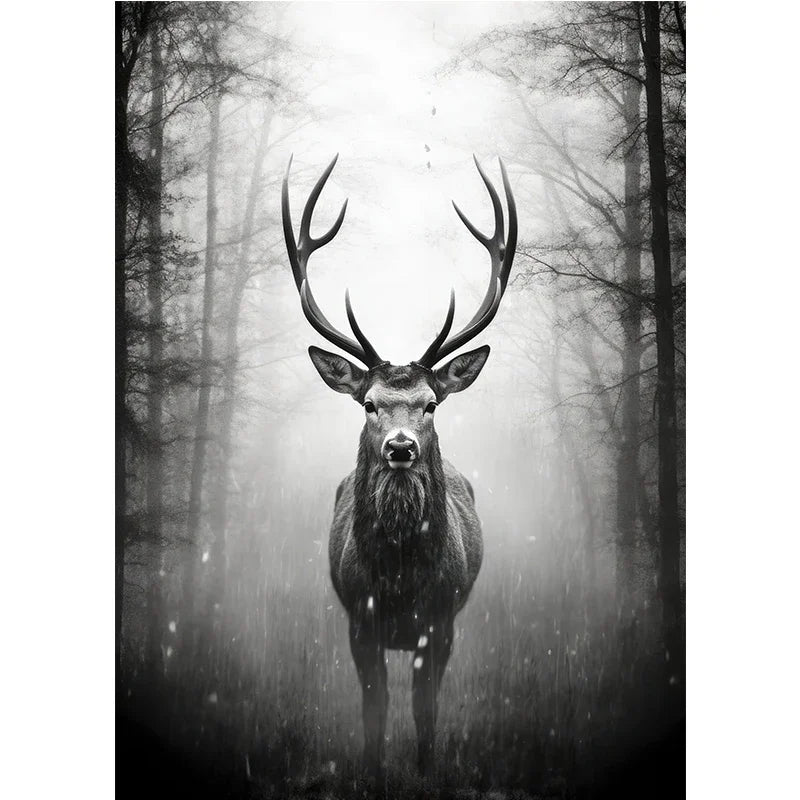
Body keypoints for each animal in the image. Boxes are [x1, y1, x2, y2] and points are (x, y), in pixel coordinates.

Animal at [281, 154, 517, 778]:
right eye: (369, 403)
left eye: (430, 403)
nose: (401, 447)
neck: (400, 582)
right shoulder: (359, 621)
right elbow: (375, 704)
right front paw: (371, 770)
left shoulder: (441, 620)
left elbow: (424, 705)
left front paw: (426, 768)